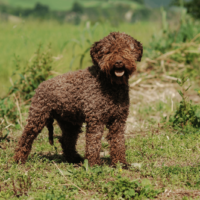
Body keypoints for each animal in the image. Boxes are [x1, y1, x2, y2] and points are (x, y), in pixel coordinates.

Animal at [13, 32, 142, 166]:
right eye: (107, 51)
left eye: (127, 49)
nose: (118, 62)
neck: (110, 84)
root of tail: (40, 85)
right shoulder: (96, 120)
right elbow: (93, 143)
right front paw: (94, 164)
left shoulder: (118, 120)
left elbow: (118, 142)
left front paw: (120, 163)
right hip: (37, 117)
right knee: (26, 138)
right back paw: (18, 159)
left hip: (70, 122)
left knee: (66, 141)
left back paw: (74, 159)